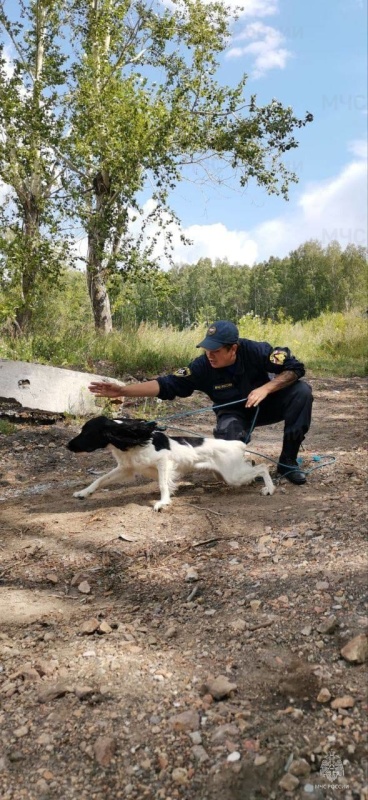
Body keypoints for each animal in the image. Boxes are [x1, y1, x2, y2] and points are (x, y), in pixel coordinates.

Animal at [66, 416, 274, 510]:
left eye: (86, 432)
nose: (67, 445)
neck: (131, 441)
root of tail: (236, 443)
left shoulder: (164, 462)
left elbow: (162, 484)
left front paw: (163, 502)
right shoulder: (125, 469)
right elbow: (99, 480)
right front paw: (83, 492)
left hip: (232, 476)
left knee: (262, 467)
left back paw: (269, 489)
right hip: (228, 473)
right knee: (253, 465)